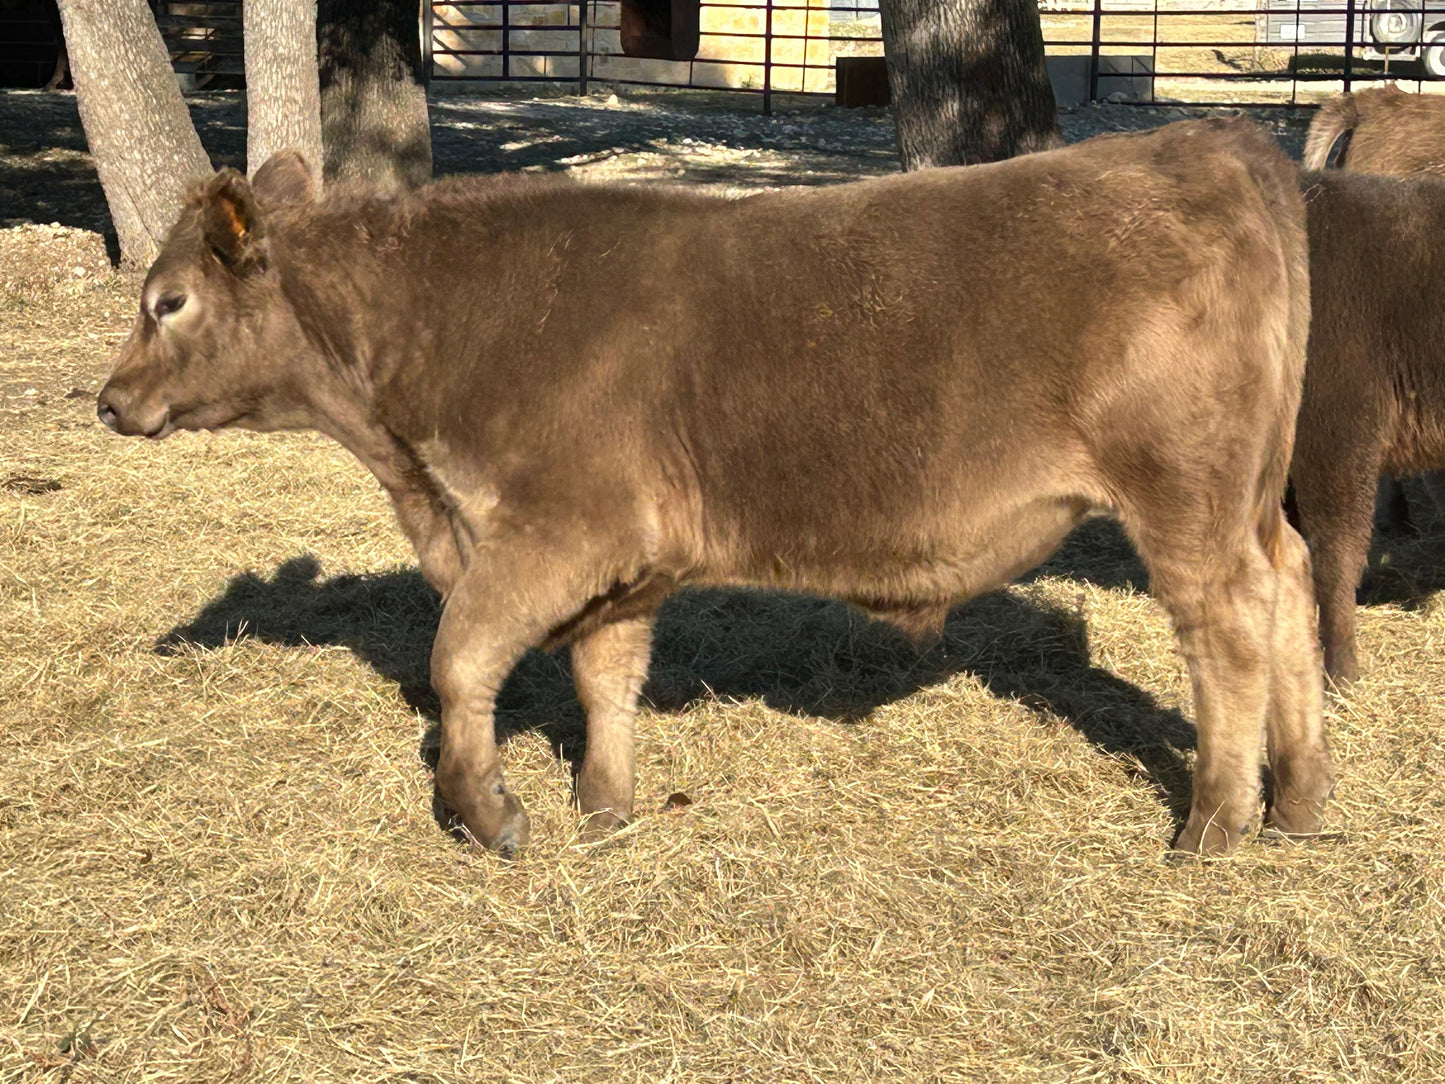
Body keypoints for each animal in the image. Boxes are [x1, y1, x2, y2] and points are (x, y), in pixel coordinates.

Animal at [96, 118, 1333, 857]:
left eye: (167, 301)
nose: (106, 400)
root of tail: (1204, 144)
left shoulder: (554, 524)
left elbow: (458, 659)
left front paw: (488, 812)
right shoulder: (624, 556)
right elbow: (605, 675)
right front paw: (604, 809)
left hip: (1182, 494)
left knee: (1228, 627)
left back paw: (1215, 822)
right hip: (1244, 501)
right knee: (1288, 592)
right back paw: (1298, 801)